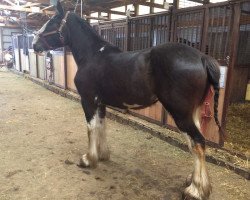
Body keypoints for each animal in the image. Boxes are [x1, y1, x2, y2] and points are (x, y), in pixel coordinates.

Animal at [32, 1, 224, 198]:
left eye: (52, 22)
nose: (34, 44)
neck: (93, 55)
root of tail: (202, 57)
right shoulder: (101, 103)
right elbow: (101, 126)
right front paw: (102, 155)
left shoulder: (88, 100)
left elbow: (91, 128)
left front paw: (88, 159)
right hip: (192, 112)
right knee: (195, 143)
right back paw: (194, 181)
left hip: (180, 113)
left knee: (198, 143)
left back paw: (196, 190)